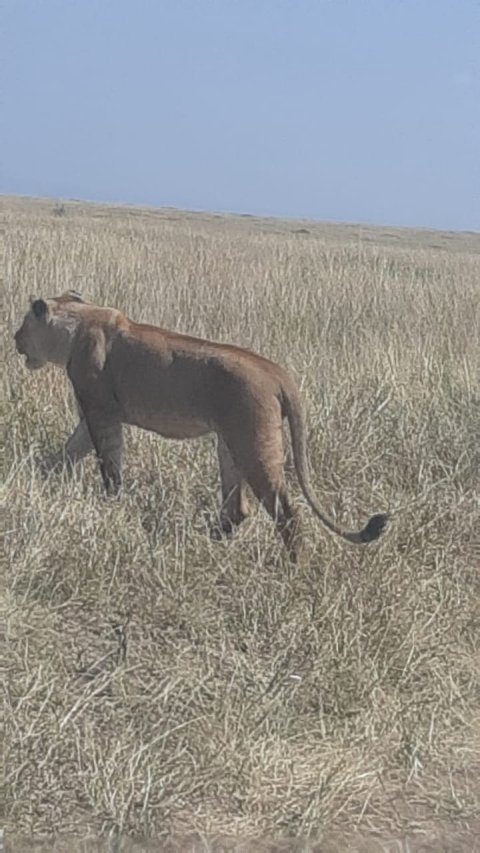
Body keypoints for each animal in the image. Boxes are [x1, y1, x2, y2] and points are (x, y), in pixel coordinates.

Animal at [15, 292, 388, 560]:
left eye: (22, 324)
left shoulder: (102, 414)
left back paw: (295, 565)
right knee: (237, 509)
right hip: (230, 443)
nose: (15, 339)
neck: (76, 322)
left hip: (254, 443)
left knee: (284, 511)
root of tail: (277, 372)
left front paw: (109, 501)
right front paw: (42, 478)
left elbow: (108, 464)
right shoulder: (91, 418)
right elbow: (66, 453)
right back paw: (203, 540)